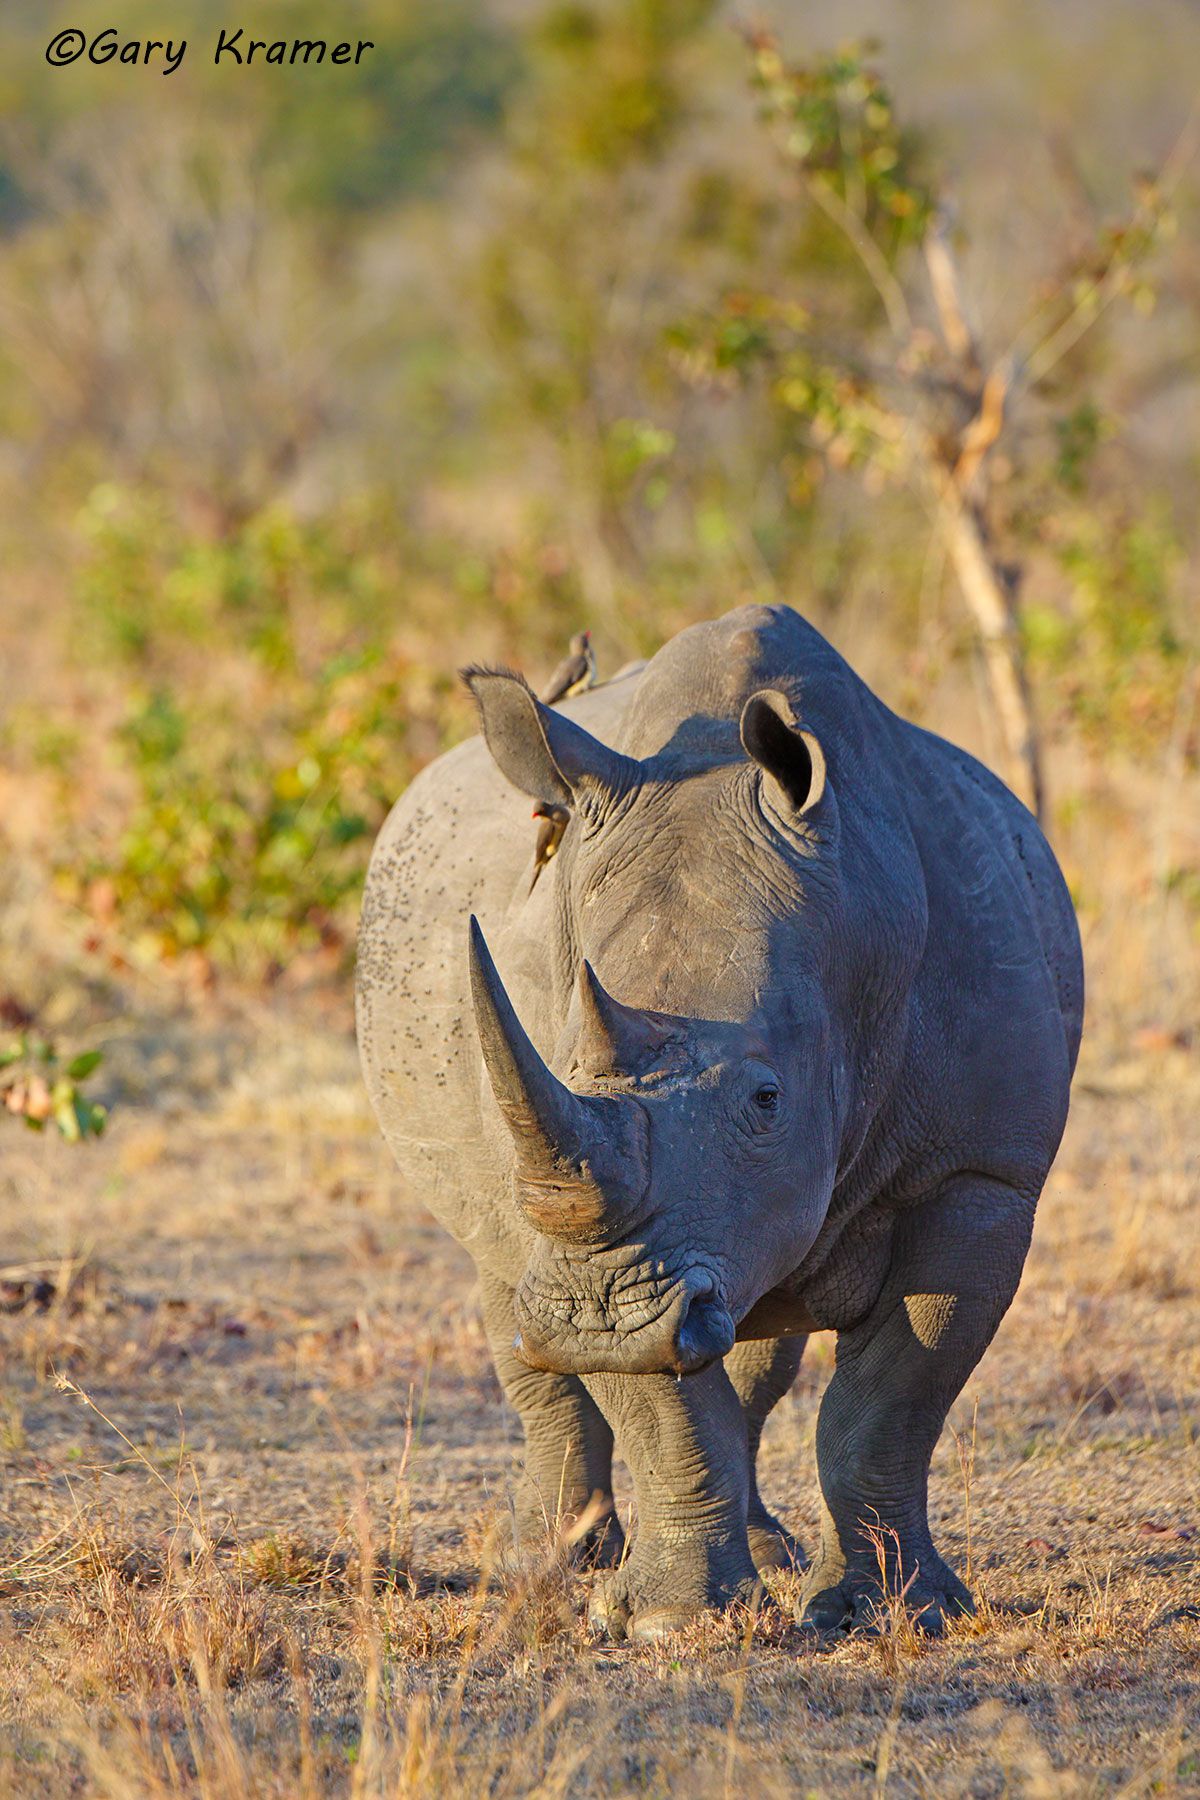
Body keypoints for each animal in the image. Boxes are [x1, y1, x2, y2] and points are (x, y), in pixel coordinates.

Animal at [356, 603, 1082, 1640]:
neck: (856, 935)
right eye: (566, 1066)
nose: (600, 1318)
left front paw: (893, 1613)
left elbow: (890, 1400)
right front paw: (671, 1622)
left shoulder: (979, 1172)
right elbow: (662, 1408)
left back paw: (768, 1554)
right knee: (509, 1278)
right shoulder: (607, 1233)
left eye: (766, 1100)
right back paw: (548, 1564)